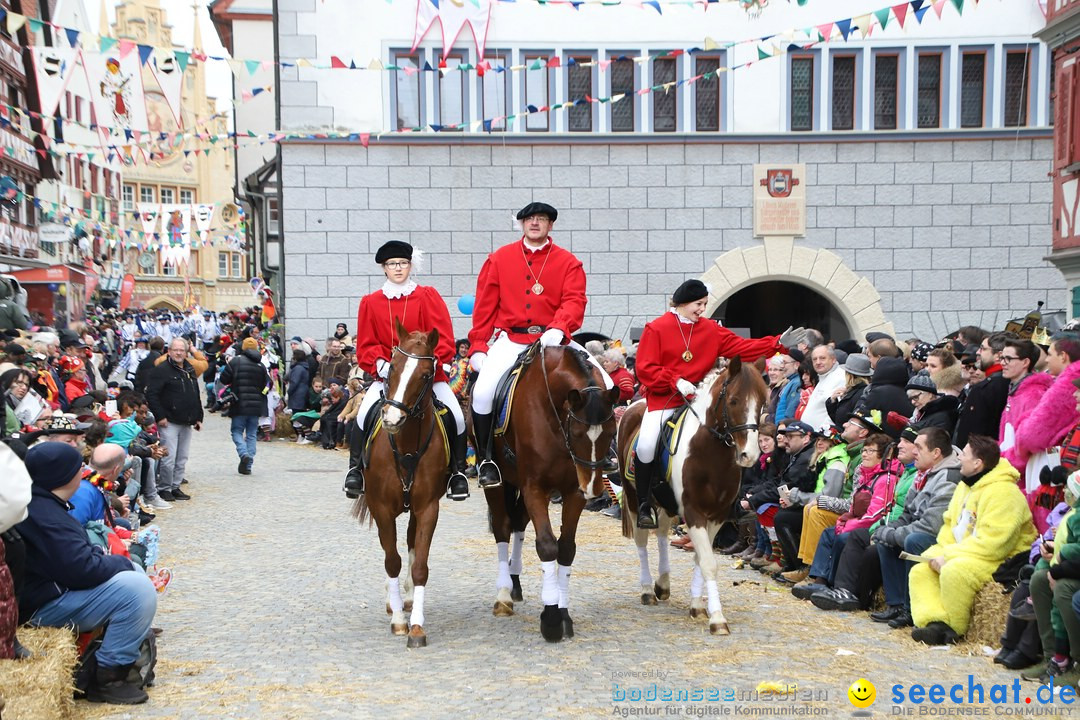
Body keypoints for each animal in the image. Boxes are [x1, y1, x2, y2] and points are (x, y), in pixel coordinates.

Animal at [354, 323, 447, 651]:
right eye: (392, 366)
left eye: (426, 374)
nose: (392, 417)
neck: (405, 445)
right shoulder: (381, 508)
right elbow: (391, 560)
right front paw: (397, 621)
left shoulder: (428, 507)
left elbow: (419, 565)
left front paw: (416, 627)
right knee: (390, 551)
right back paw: (393, 602)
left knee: (409, 543)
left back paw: (405, 598)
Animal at [483, 345, 622, 643]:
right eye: (578, 433)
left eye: (612, 432)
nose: (593, 488)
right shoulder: (534, 486)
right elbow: (547, 545)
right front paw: (550, 618)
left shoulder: (572, 491)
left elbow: (566, 549)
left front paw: (563, 613)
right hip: (500, 484)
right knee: (502, 528)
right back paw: (503, 594)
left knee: (518, 524)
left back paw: (514, 582)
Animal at [617, 358, 768, 634]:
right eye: (734, 401)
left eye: (763, 402)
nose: (749, 455)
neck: (711, 454)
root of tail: (636, 404)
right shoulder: (693, 511)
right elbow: (708, 562)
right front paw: (717, 618)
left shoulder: (717, 515)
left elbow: (701, 558)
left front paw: (698, 606)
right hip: (634, 498)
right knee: (642, 539)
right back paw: (647, 590)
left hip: (666, 502)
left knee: (662, 534)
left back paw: (663, 584)